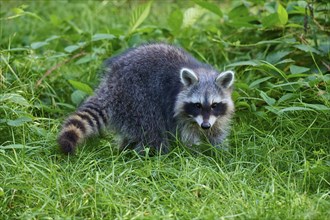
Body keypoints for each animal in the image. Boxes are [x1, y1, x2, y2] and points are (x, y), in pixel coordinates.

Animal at [58, 42, 235, 154]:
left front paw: (219, 152)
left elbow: (217, 131)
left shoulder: (216, 116)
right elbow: (188, 136)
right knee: (151, 129)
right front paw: (194, 154)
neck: (201, 72)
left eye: (214, 105)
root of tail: (110, 84)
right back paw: (155, 155)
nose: (205, 125)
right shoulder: (177, 111)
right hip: (136, 97)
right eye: (197, 105)